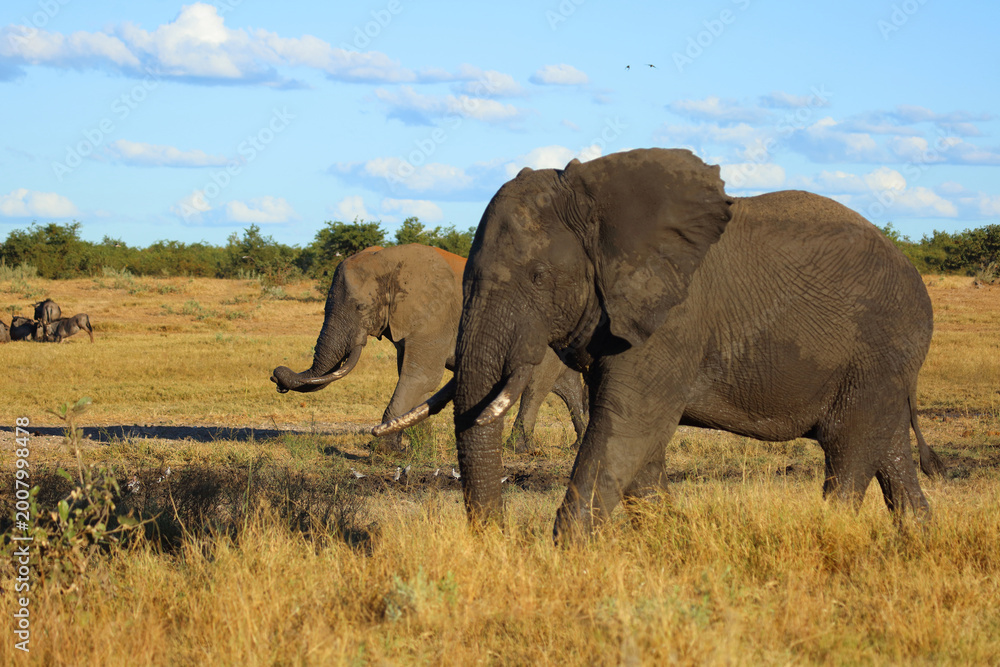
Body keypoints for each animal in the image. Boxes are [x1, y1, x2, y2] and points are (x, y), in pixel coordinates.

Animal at [271, 243, 586, 452]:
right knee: (567, 387)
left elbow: (422, 377)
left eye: (361, 307)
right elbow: (415, 378)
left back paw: (519, 449)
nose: (277, 377)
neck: (391, 259)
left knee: (535, 388)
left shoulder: (436, 315)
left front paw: (387, 451)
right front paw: (418, 444)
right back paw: (575, 444)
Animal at [375, 148, 944, 541]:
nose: (499, 538)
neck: (596, 201)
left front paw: (573, 558)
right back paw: (917, 542)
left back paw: (832, 533)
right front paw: (671, 540)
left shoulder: (671, 321)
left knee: (850, 454)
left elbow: (626, 427)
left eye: (538, 277)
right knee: (888, 453)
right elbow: (637, 446)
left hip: (878, 354)